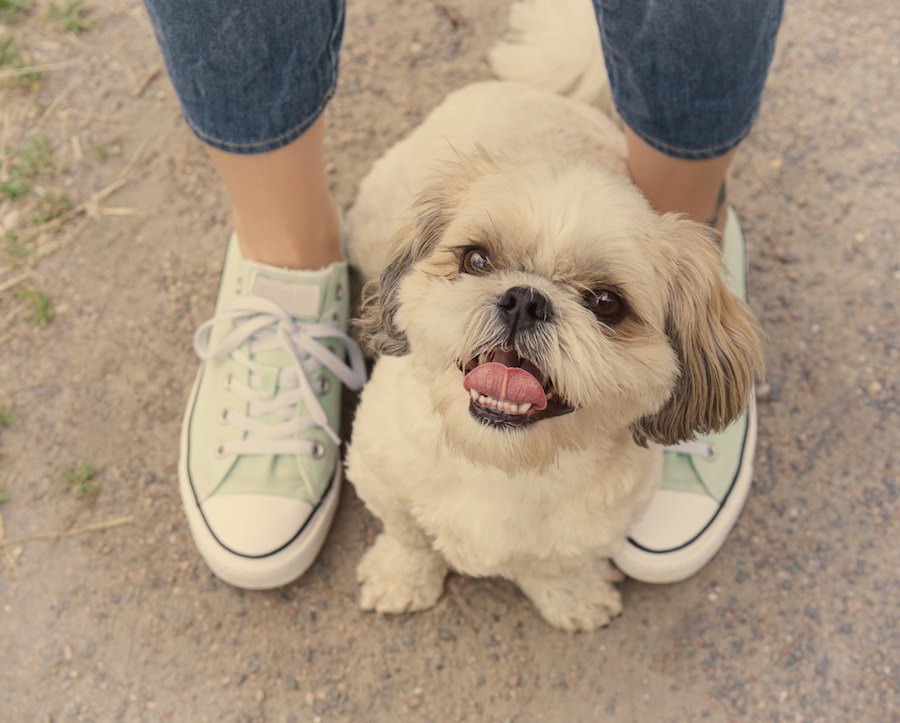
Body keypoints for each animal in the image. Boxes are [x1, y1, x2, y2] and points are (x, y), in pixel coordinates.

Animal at [342, 7, 764, 632]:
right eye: (476, 260)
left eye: (607, 304)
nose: (525, 299)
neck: (498, 463)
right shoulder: (379, 476)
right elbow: (408, 534)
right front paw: (402, 577)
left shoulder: (596, 526)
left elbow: (558, 566)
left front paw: (573, 598)